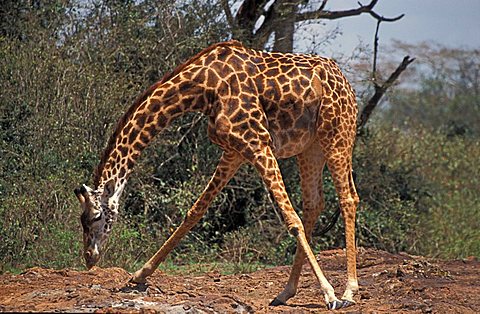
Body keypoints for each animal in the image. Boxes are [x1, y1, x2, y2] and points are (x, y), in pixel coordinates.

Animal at [74, 40, 360, 310]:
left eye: (95, 217)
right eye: (81, 219)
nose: (89, 257)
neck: (203, 88)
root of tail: (347, 84)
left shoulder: (257, 142)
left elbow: (291, 220)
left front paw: (330, 294)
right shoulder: (234, 150)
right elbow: (195, 211)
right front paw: (139, 275)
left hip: (337, 135)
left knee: (348, 198)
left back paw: (348, 291)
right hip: (310, 147)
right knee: (313, 204)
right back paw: (285, 292)